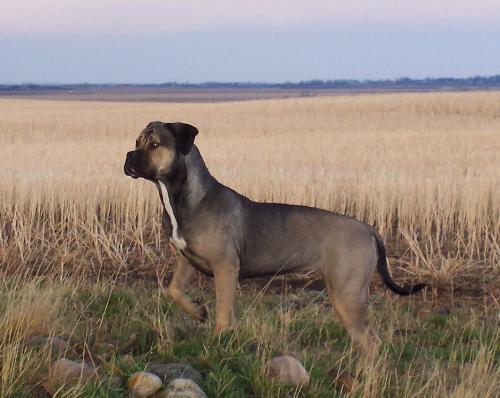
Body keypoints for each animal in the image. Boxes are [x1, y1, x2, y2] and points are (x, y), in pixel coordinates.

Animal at [125, 121, 426, 354]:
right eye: (137, 141)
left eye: (154, 144)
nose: (128, 156)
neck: (184, 196)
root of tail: (369, 229)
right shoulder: (188, 258)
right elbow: (173, 289)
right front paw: (198, 311)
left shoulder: (225, 268)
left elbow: (223, 311)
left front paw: (219, 337)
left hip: (346, 294)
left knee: (371, 342)